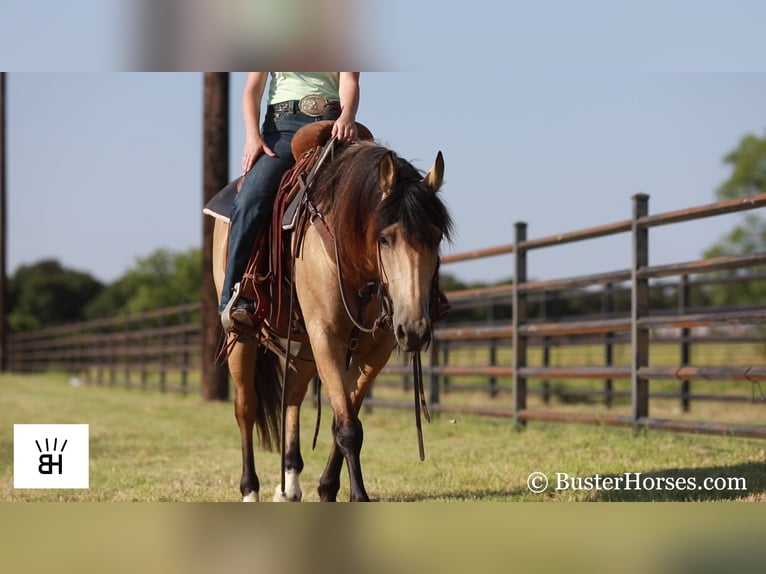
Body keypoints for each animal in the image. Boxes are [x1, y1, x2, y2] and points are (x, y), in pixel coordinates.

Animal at [210, 132, 452, 504]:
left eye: (436, 236)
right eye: (385, 238)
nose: (414, 330)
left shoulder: (374, 350)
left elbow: (347, 414)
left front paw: (327, 488)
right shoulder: (326, 337)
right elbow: (348, 427)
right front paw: (357, 495)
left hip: (305, 344)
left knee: (293, 394)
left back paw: (289, 483)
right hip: (244, 337)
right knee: (245, 407)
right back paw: (250, 490)